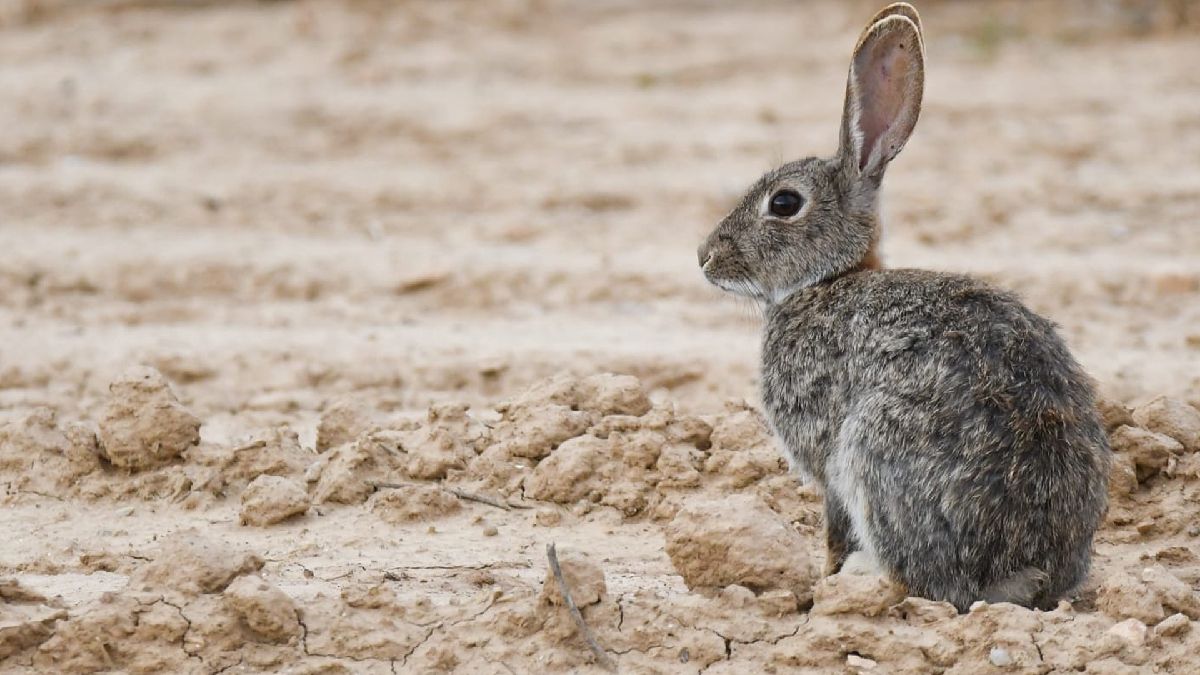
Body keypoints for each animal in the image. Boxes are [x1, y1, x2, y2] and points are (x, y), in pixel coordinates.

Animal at [696, 2, 1111, 612]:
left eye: (785, 203)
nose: (705, 257)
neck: (831, 277)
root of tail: (1021, 571)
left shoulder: (826, 455)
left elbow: (833, 526)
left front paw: (822, 581)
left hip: (872, 446)